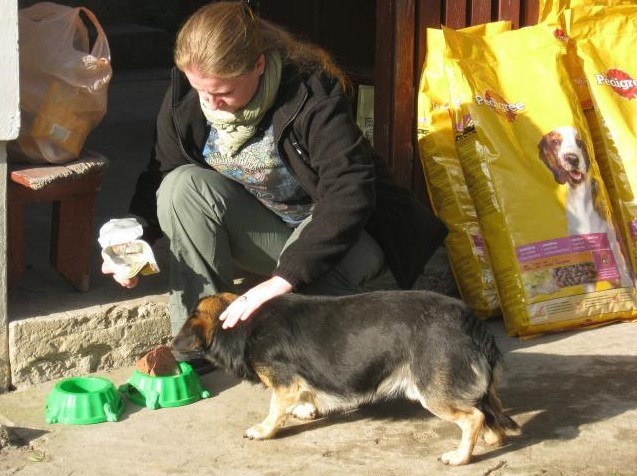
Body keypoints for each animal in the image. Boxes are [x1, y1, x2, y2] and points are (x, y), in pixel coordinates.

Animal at [171, 290, 520, 464]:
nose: (172, 348)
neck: (246, 323)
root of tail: (470, 320)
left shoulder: (283, 382)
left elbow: (274, 409)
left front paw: (264, 429)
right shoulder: (297, 382)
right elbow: (305, 394)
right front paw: (306, 408)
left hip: (432, 391)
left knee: (474, 416)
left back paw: (460, 456)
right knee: (492, 410)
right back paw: (492, 438)